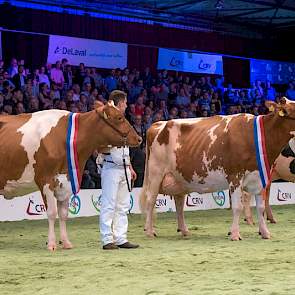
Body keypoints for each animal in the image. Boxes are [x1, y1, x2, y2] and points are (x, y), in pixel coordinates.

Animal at [0, 101, 142, 250]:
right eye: (119, 118)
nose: (139, 138)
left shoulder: (67, 181)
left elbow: (63, 214)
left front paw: (66, 242)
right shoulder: (46, 180)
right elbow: (52, 213)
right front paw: (51, 244)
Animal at [140, 98, 295, 242]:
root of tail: (157, 124)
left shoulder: (260, 177)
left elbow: (261, 207)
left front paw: (265, 233)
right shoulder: (235, 176)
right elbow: (237, 206)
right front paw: (235, 234)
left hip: (179, 178)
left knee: (179, 203)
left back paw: (184, 230)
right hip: (155, 174)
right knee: (151, 200)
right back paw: (149, 231)